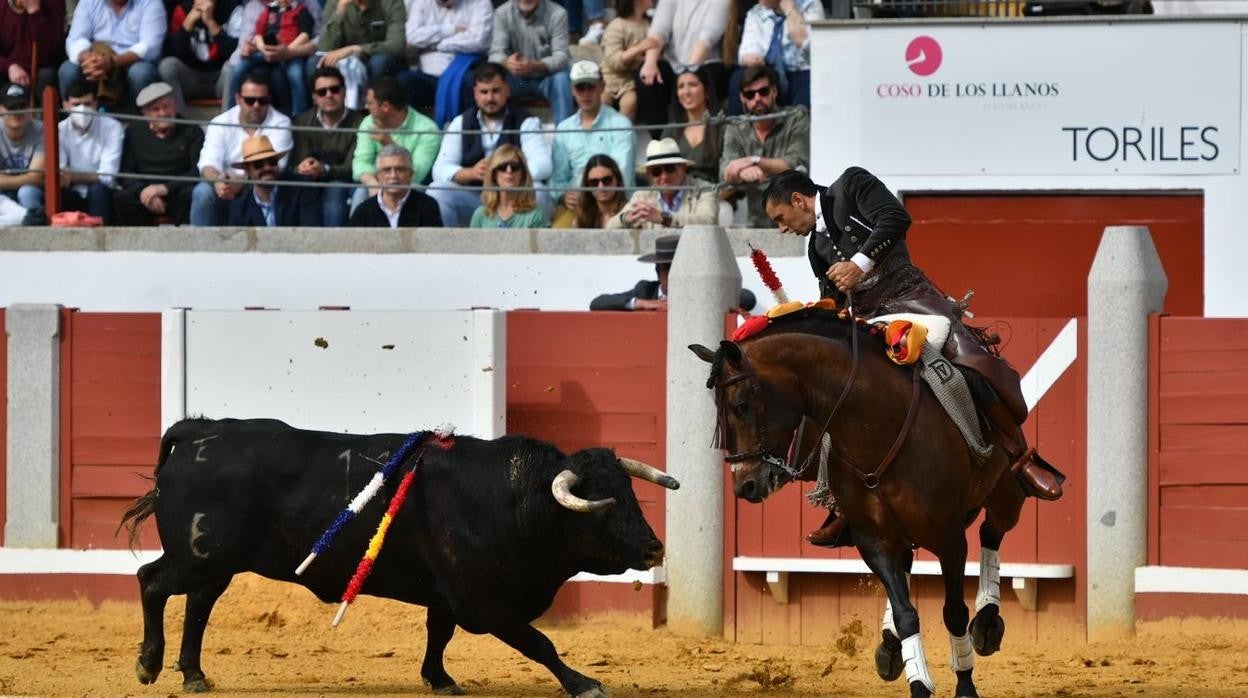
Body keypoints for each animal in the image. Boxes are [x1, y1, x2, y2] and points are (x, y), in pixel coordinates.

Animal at [121, 417, 678, 694]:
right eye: (600, 508)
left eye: (629, 494)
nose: (654, 547)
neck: (516, 498)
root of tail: (199, 432)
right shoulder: (482, 601)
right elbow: (538, 643)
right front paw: (584, 684)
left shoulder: (449, 594)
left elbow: (439, 633)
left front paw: (440, 680)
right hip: (196, 557)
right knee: (151, 581)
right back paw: (149, 666)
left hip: (215, 562)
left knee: (198, 605)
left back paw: (194, 676)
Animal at [693, 309, 1033, 698]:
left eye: (741, 405)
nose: (745, 485)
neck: (874, 429)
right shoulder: (874, 540)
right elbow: (905, 613)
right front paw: (918, 680)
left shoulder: (949, 539)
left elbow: (954, 612)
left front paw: (964, 684)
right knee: (911, 567)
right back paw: (891, 647)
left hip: (1007, 493)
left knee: (993, 531)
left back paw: (987, 624)